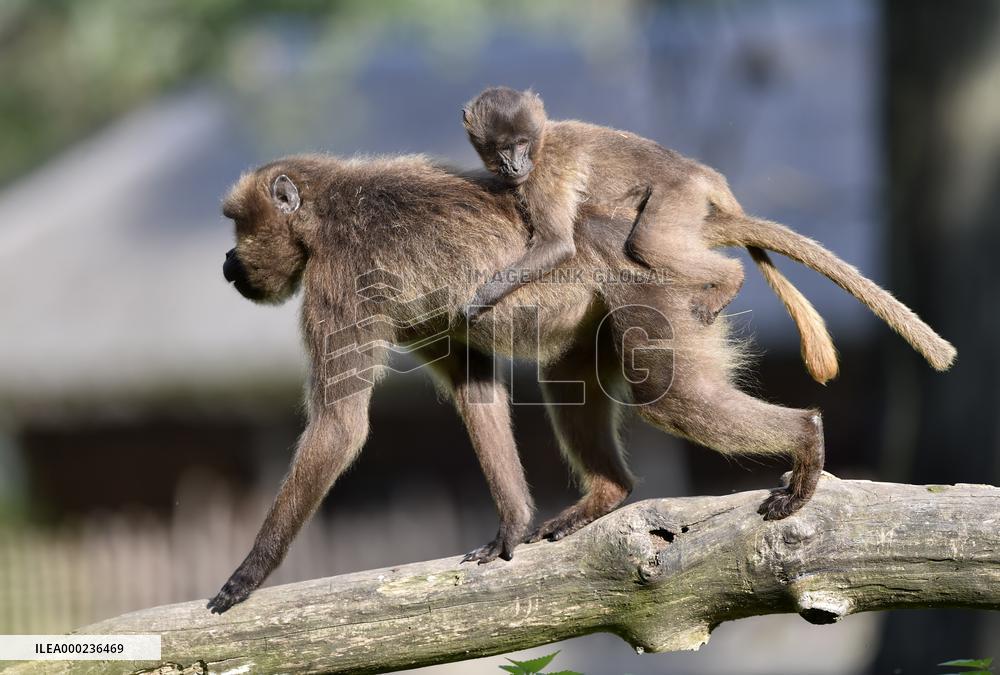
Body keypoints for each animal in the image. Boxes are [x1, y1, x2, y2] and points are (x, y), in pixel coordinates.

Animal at [207, 151, 954, 613]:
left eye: (240, 227)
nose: (225, 264)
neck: (327, 204)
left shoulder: (339, 276)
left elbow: (341, 425)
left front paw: (247, 575)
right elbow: (474, 386)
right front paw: (510, 525)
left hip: (659, 290)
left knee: (671, 395)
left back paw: (805, 440)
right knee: (571, 372)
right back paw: (606, 494)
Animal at [462, 86, 842, 385]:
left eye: (521, 144)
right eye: (502, 148)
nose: (514, 166)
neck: (542, 146)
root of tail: (699, 172)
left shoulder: (543, 174)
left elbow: (557, 245)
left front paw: (480, 299)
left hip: (679, 194)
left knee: (649, 243)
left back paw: (730, 277)